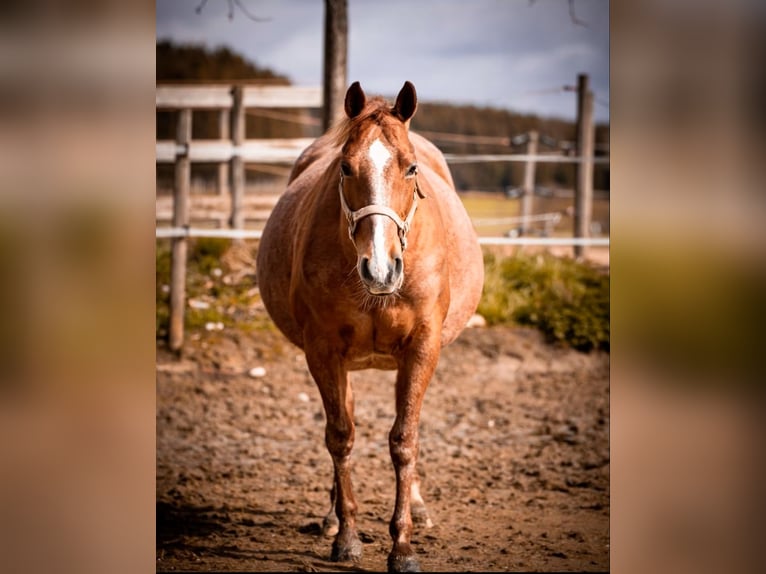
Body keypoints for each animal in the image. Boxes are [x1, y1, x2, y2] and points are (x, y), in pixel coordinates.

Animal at [256, 81, 484, 572]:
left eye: (410, 168)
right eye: (345, 167)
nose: (380, 268)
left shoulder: (422, 348)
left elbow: (404, 439)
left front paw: (402, 545)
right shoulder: (323, 350)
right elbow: (341, 435)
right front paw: (347, 535)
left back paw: (417, 505)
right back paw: (331, 515)